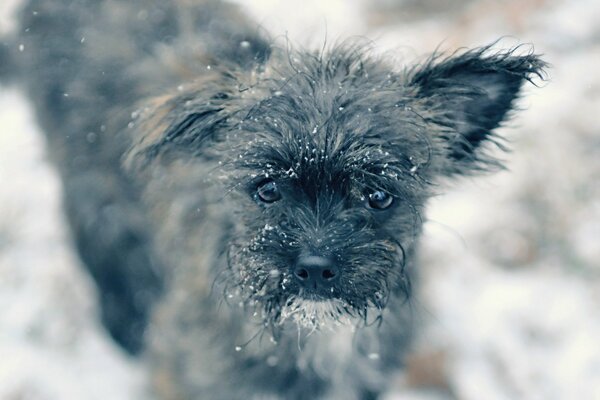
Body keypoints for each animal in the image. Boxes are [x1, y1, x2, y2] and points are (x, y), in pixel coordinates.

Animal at [0, 0, 548, 400]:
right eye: (266, 190)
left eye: (378, 196)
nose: (315, 266)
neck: (316, 336)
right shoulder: (186, 373)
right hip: (94, 195)